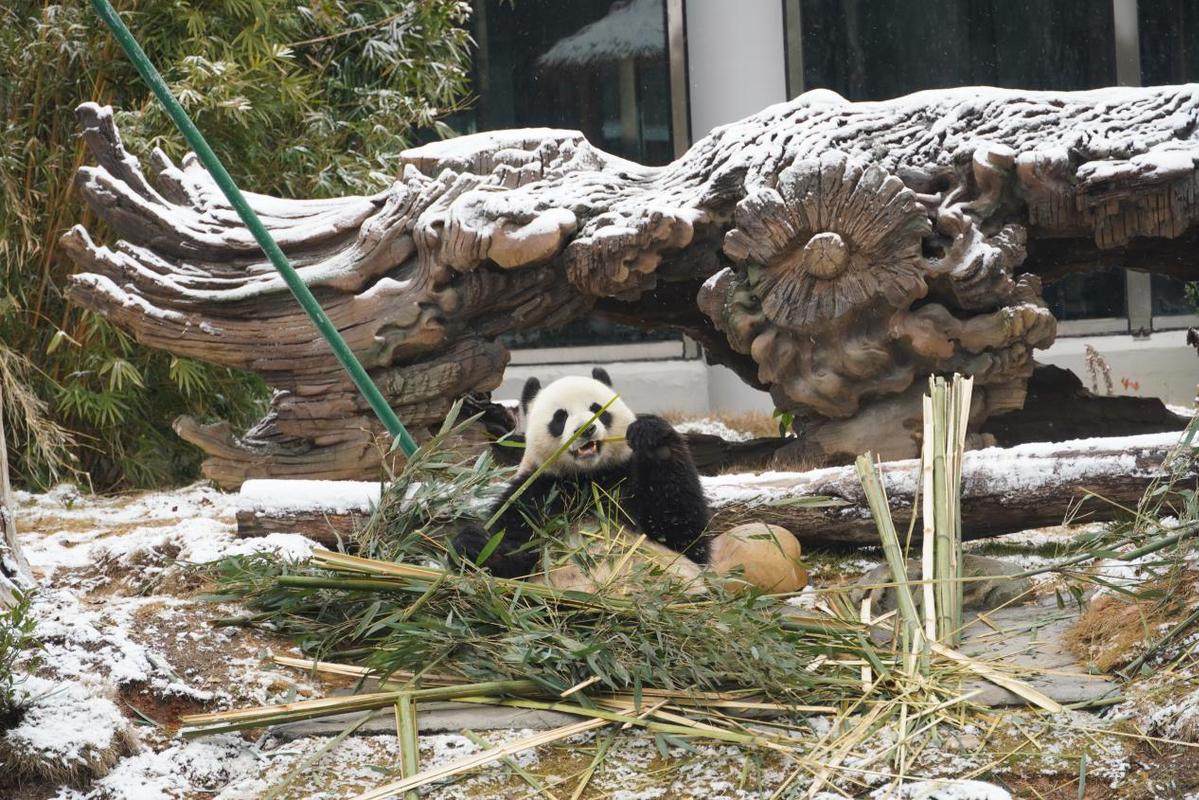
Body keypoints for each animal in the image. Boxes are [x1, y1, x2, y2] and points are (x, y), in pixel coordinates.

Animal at [453, 369, 810, 594]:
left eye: (598, 408)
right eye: (560, 417)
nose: (586, 430)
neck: (590, 478)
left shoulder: (628, 479)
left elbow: (684, 534)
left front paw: (654, 440)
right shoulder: (538, 490)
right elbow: (512, 549)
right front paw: (474, 543)